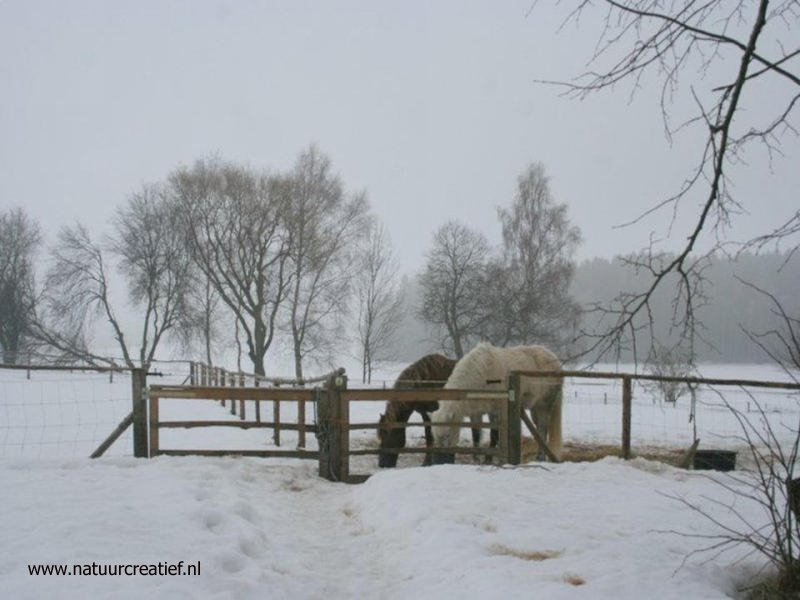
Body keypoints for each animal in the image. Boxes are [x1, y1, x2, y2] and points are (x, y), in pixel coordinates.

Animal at [432, 342, 564, 464]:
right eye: (434, 436)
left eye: (448, 434)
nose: (441, 460)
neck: (481, 373)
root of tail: (555, 360)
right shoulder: (475, 412)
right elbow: (476, 434)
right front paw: (476, 458)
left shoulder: (495, 411)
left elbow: (494, 434)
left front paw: (488, 459)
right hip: (534, 409)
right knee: (539, 430)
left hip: (544, 406)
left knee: (543, 427)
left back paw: (540, 457)